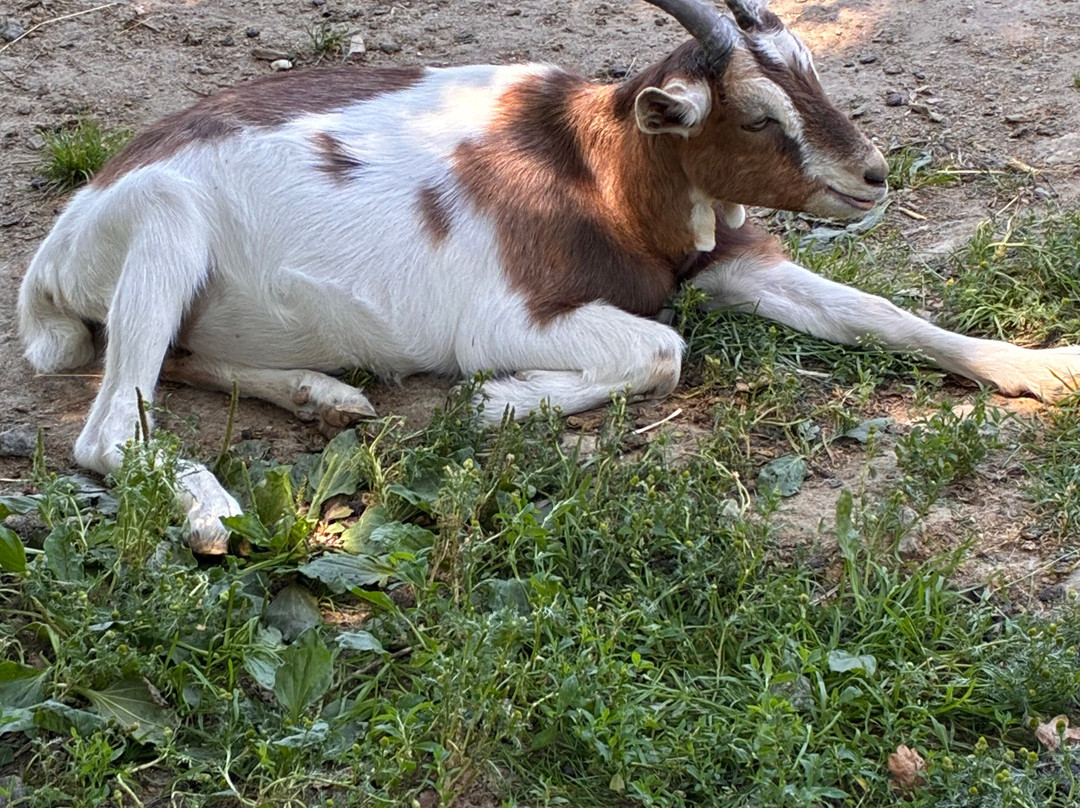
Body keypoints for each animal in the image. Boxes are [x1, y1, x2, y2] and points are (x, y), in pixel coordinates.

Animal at [18, 0, 1080, 553]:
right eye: (756, 114)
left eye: (812, 71)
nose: (872, 178)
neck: (592, 164)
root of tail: (56, 252)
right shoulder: (507, 317)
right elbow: (662, 351)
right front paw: (492, 403)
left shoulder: (726, 259)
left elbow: (885, 315)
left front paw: (1046, 368)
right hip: (164, 229)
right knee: (109, 428)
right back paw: (210, 509)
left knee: (176, 364)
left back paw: (324, 396)